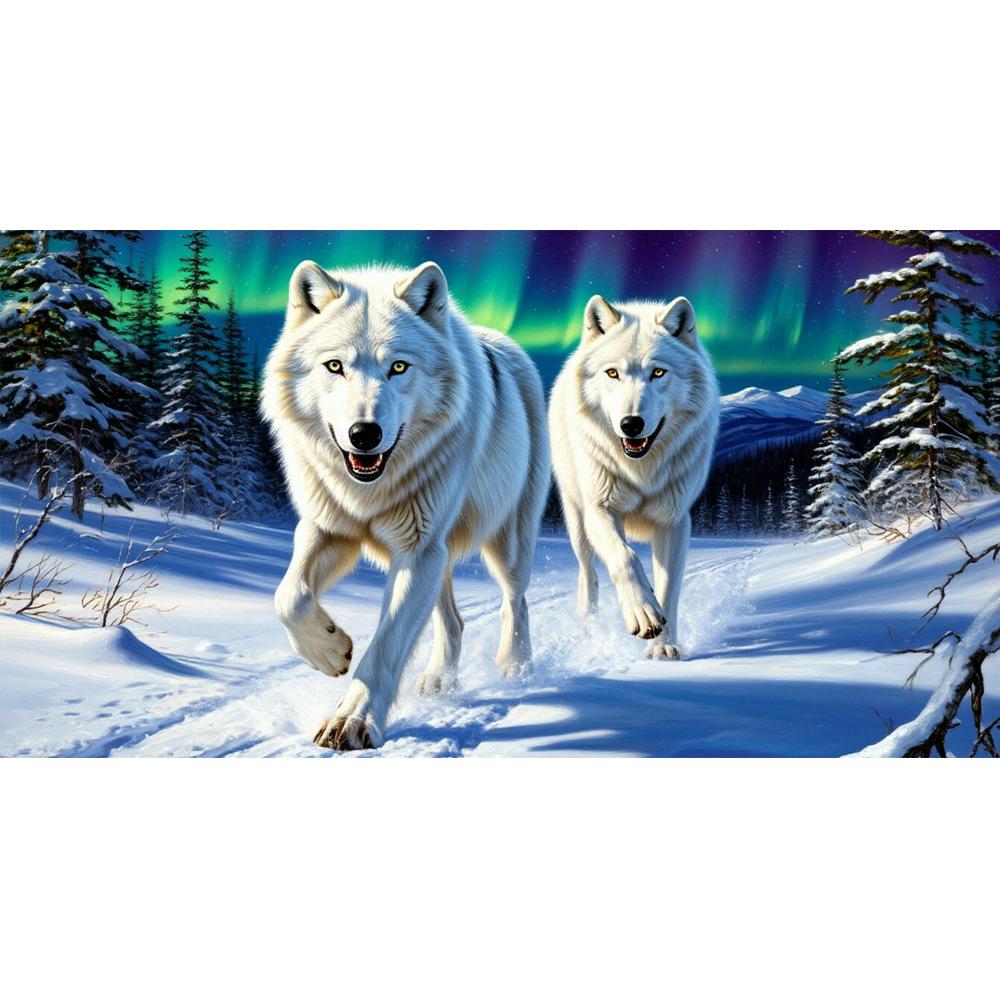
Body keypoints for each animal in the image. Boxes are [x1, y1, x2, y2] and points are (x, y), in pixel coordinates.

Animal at [263, 260, 550, 750]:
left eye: (398, 367)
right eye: (335, 366)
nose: (364, 434)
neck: (368, 491)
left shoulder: (416, 550)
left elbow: (387, 643)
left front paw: (351, 722)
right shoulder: (327, 529)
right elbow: (290, 597)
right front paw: (331, 650)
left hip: (504, 542)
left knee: (516, 601)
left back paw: (516, 668)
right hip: (438, 556)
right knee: (453, 620)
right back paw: (439, 681)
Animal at [548, 294, 719, 659]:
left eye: (658, 372)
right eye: (613, 373)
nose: (631, 424)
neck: (641, 470)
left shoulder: (674, 521)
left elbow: (669, 588)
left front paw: (663, 646)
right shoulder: (600, 510)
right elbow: (625, 557)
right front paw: (642, 612)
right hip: (576, 519)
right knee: (589, 574)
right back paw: (588, 629)